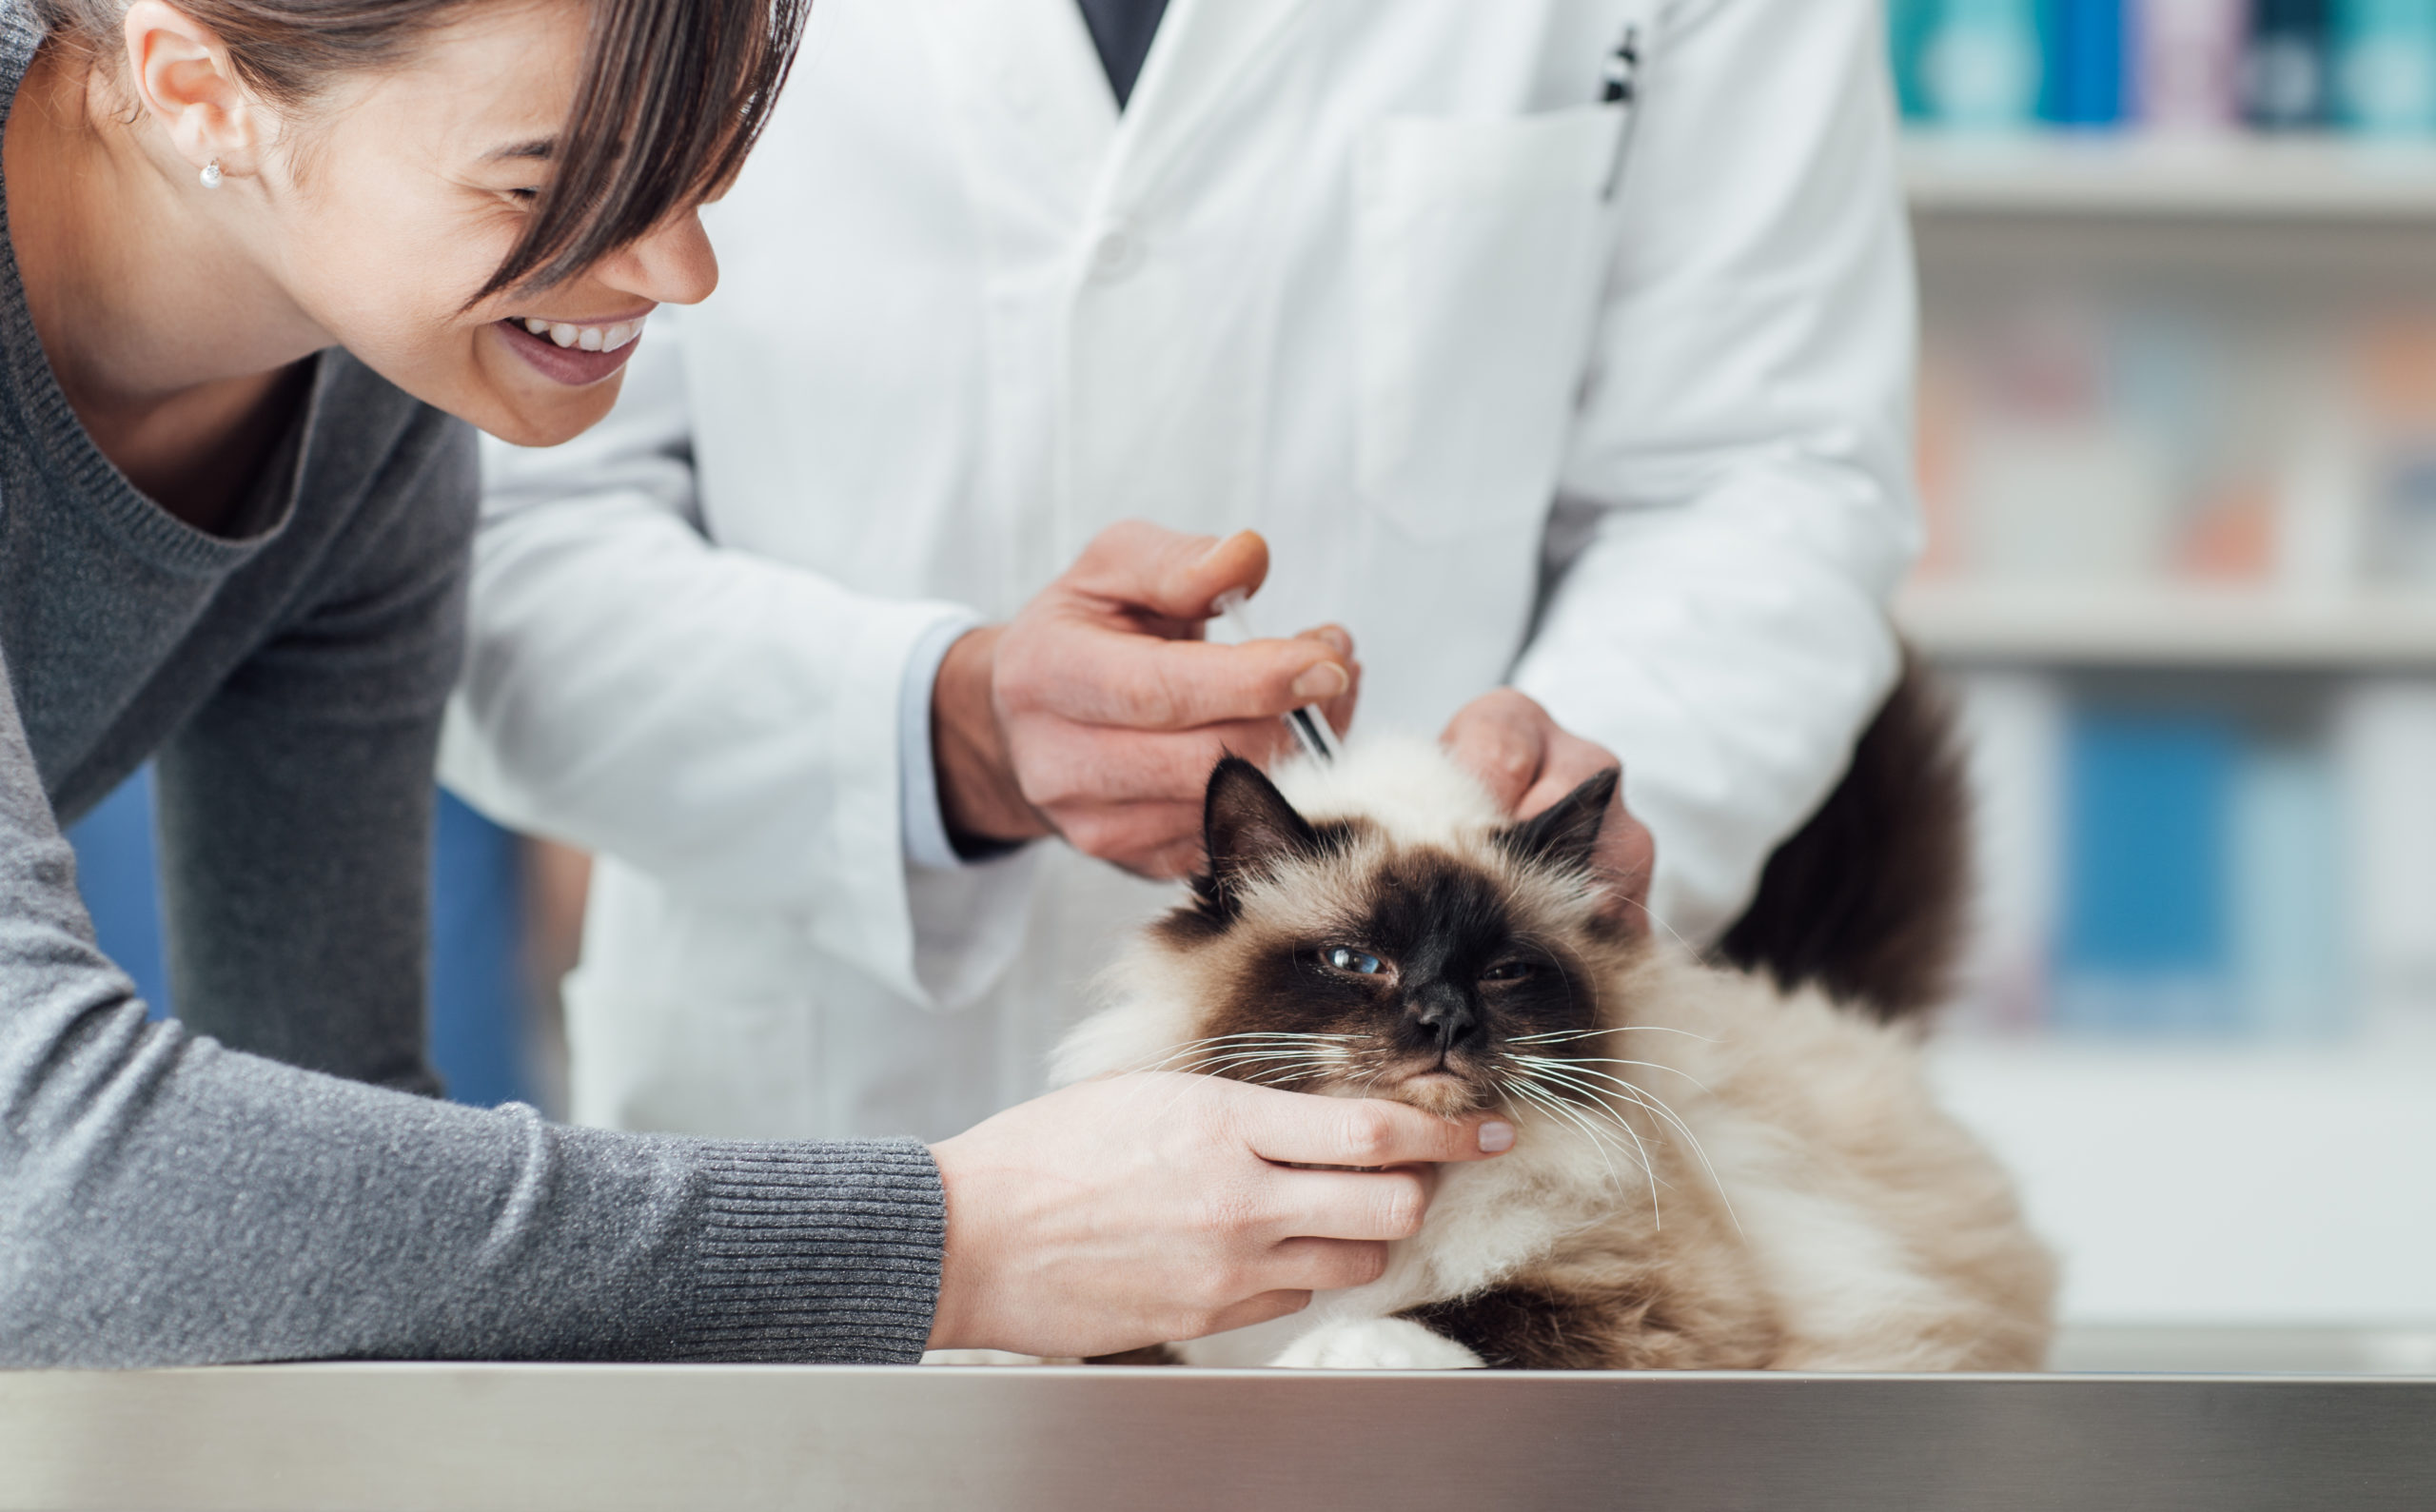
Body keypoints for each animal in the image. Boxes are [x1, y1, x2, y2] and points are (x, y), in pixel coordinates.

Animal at [1051, 735, 2055, 1373]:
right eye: (1356, 963)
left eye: (1503, 971)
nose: (1444, 1020)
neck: (1412, 1188)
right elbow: (1106, 1340)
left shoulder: (1674, 1311)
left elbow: (1475, 1309)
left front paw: (1336, 1348)